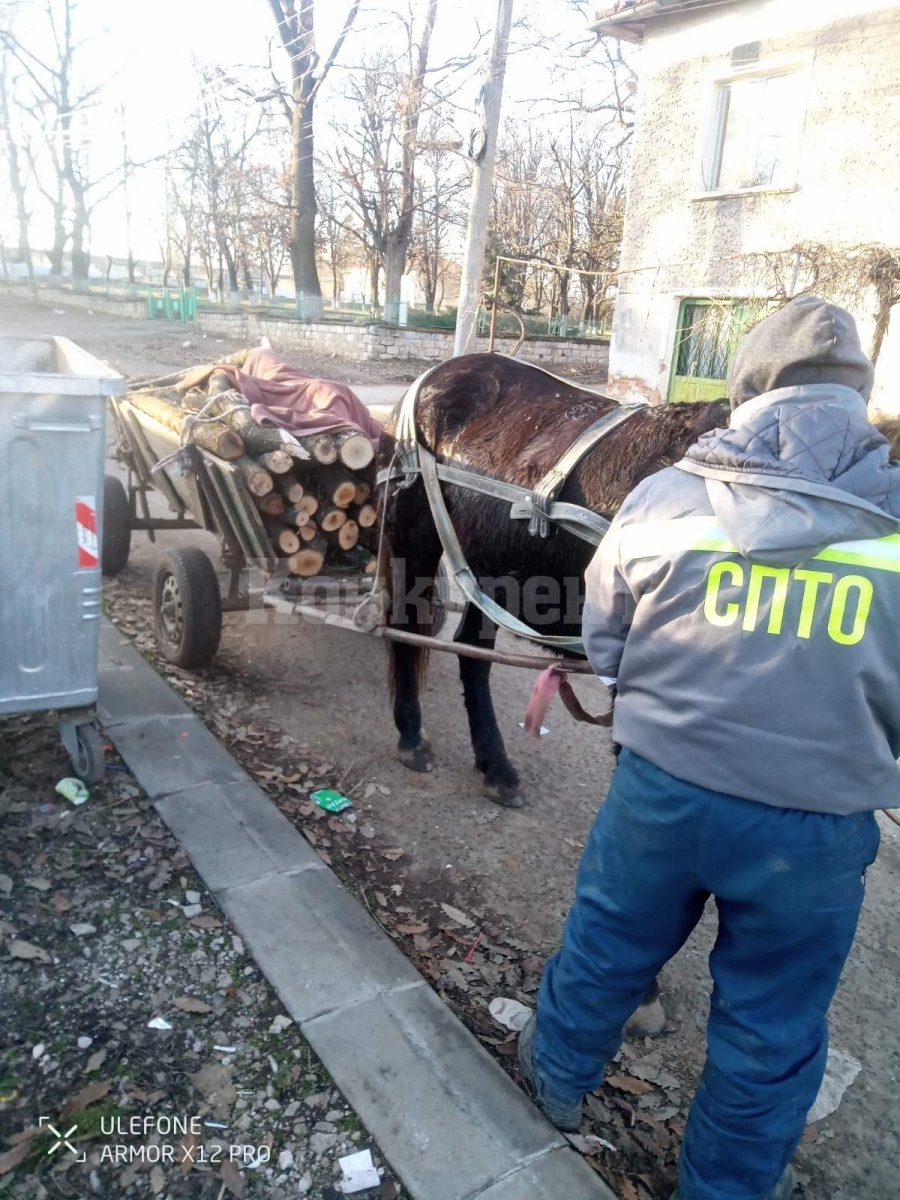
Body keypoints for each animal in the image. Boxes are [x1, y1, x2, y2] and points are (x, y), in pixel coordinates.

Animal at [376, 350, 729, 811]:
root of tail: (434, 376)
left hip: (487, 571)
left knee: (472, 652)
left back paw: (496, 768)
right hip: (414, 542)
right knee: (405, 630)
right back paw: (413, 737)